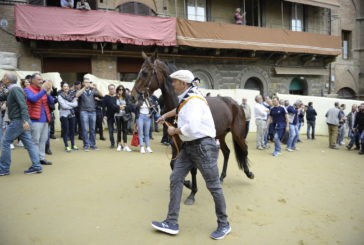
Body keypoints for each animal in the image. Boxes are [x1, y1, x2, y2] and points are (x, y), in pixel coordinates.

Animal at [131, 53, 253, 205]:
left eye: (145, 73)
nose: (133, 96)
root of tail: (236, 104)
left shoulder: (189, 142)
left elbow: (193, 169)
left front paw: (192, 192)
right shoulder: (175, 142)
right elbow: (173, 164)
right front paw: (188, 183)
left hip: (238, 134)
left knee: (244, 149)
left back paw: (249, 173)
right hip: (220, 135)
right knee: (226, 152)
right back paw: (221, 177)